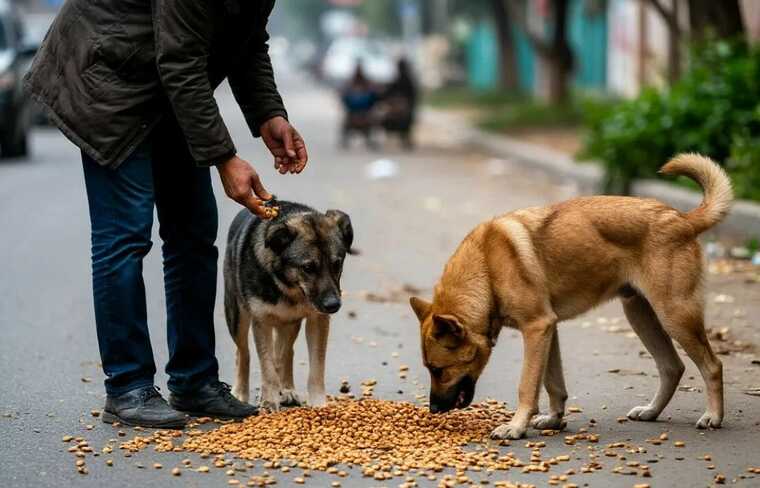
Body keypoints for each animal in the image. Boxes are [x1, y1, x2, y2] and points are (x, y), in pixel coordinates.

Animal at [224, 200, 354, 410]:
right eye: (308, 268)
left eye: (337, 264)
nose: (333, 305)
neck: (288, 287)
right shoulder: (262, 321)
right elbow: (267, 366)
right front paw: (269, 401)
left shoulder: (317, 320)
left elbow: (316, 367)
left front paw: (318, 404)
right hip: (237, 315)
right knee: (243, 352)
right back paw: (241, 392)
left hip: (290, 323)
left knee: (286, 353)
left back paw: (286, 389)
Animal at [412, 154, 732, 440]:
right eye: (430, 369)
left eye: (439, 370)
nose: (433, 409)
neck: (487, 269)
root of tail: (683, 219)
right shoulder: (547, 330)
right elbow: (553, 384)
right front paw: (554, 419)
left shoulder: (537, 328)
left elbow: (527, 385)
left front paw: (516, 427)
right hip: (641, 316)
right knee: (672, 367)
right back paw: (651, 411)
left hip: (675, 315)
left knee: (712, 366)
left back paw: (713, 416)